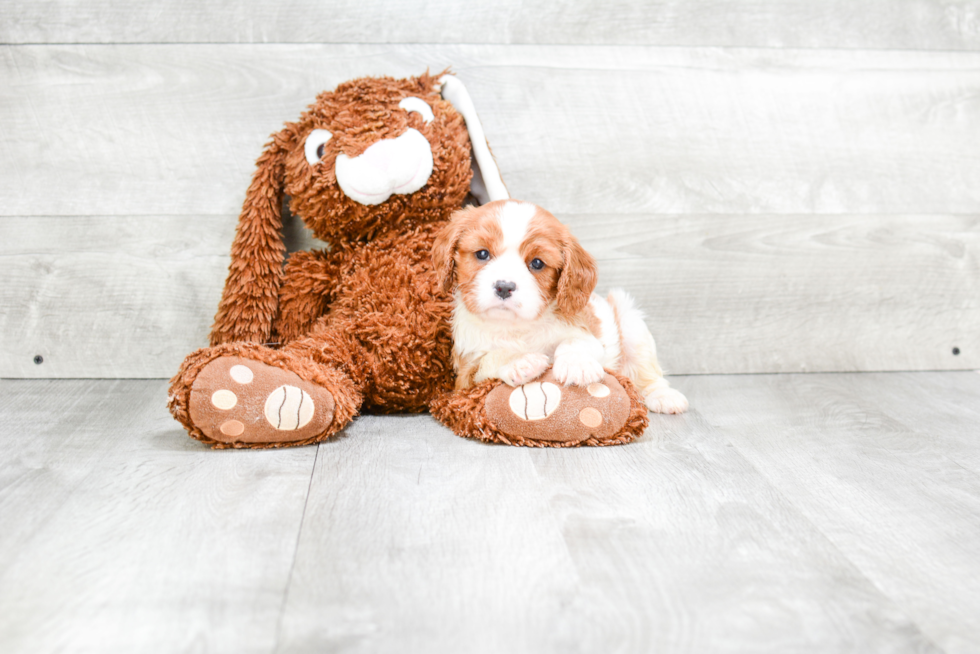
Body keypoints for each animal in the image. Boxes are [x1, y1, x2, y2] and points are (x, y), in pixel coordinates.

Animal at [432, 201, 692, 416]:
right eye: (482, 254)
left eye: (537, 263)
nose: (504, 286)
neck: (517, 327)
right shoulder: (465, 377)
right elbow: (491, 358)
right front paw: (520, 361)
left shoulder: (588, 332)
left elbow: (575, 341)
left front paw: (577, 364)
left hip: (631, 323)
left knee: (647, 374)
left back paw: (664, 396)